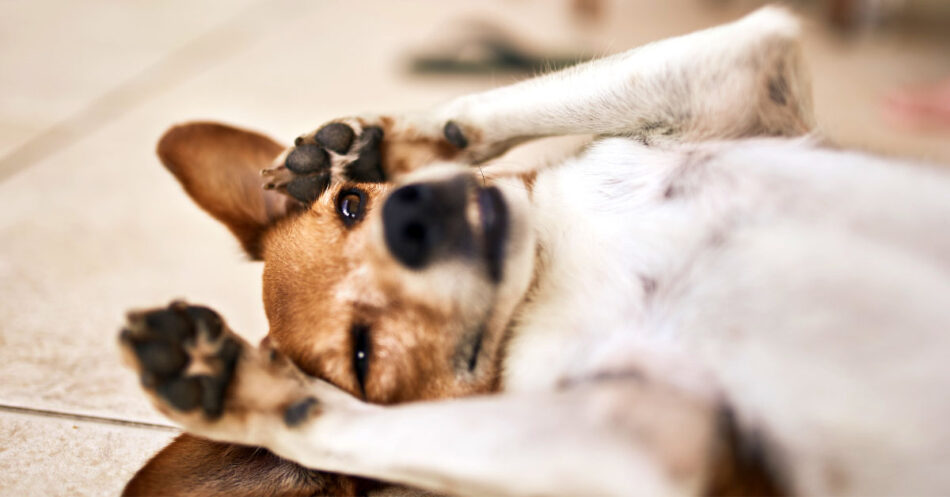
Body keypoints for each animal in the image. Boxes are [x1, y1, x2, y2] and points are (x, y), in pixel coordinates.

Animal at [117, 5, 950, 494]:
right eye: (362, 351)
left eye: (351, 207)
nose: (410, 217)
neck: (549, 267)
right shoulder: (648, 433)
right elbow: (342, 427)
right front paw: (232, 385)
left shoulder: (739, 74)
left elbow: (505, 101)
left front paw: (366, 144)